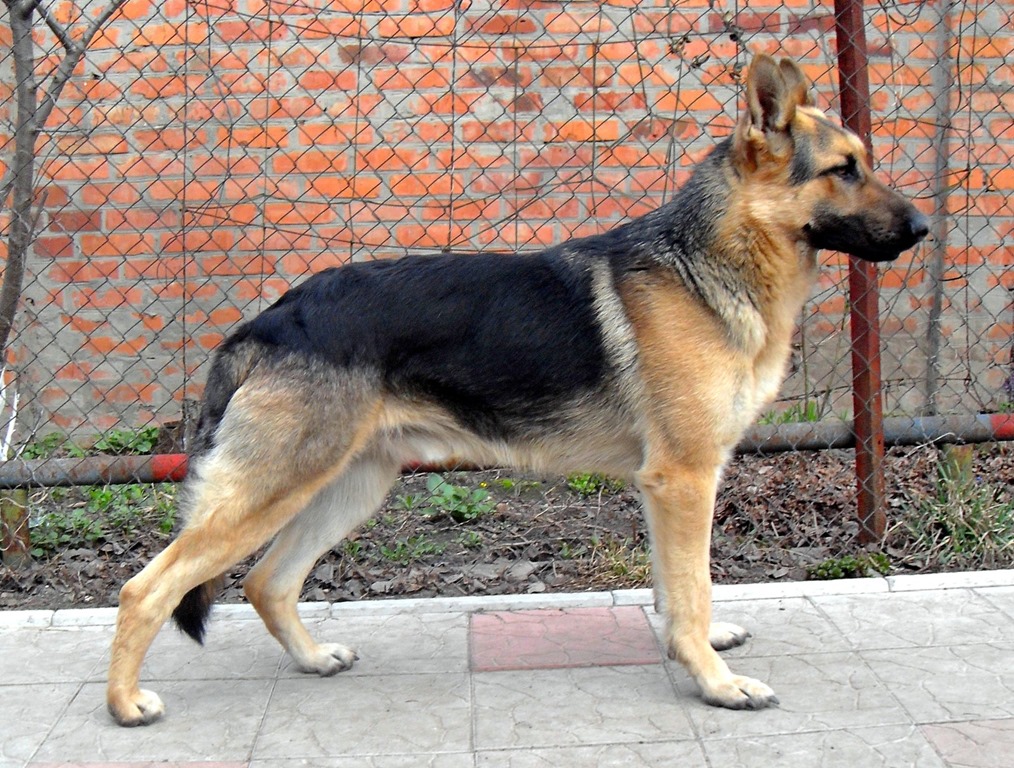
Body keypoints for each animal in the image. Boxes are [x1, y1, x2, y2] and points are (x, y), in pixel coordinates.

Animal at [109, 55, 928, 726]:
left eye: (863, 164)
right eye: (844, 170)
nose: (924, 227)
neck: (712, 259)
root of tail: (274, 317)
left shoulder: (665, 485)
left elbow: (675, 589)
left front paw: (691, 651)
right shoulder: (685, 479)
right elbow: (691, 587)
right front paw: (717, 684)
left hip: (348, 487)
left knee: (267, 583)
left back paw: (312, 660)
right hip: (274, 491)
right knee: (145, 589)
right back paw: (125, 704)